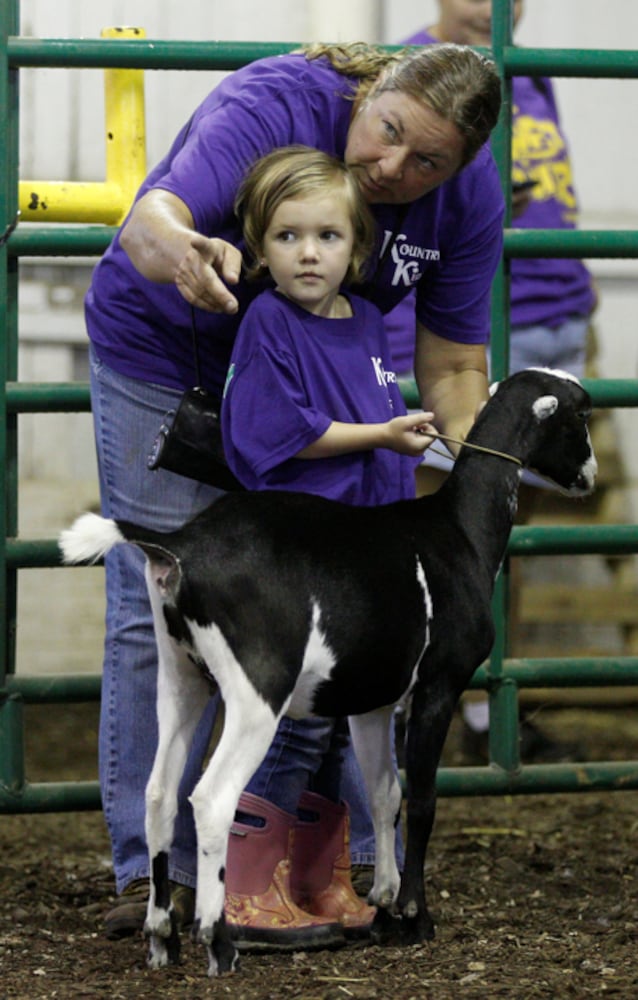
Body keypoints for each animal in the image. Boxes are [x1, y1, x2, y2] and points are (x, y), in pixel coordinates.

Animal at [60, 368, 600, 976]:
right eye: (581, 415)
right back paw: (218, 942)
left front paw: (384, 907)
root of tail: (179, 546)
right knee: (212, 799)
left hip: (181, 676)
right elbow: (423, 798)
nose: (590, 477)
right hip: (257, 688)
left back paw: (160, 937)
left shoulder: (373, 703)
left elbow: (385, 794)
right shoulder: (439, 685)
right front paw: (416, 916)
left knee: (158, 793)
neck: (458, 531)